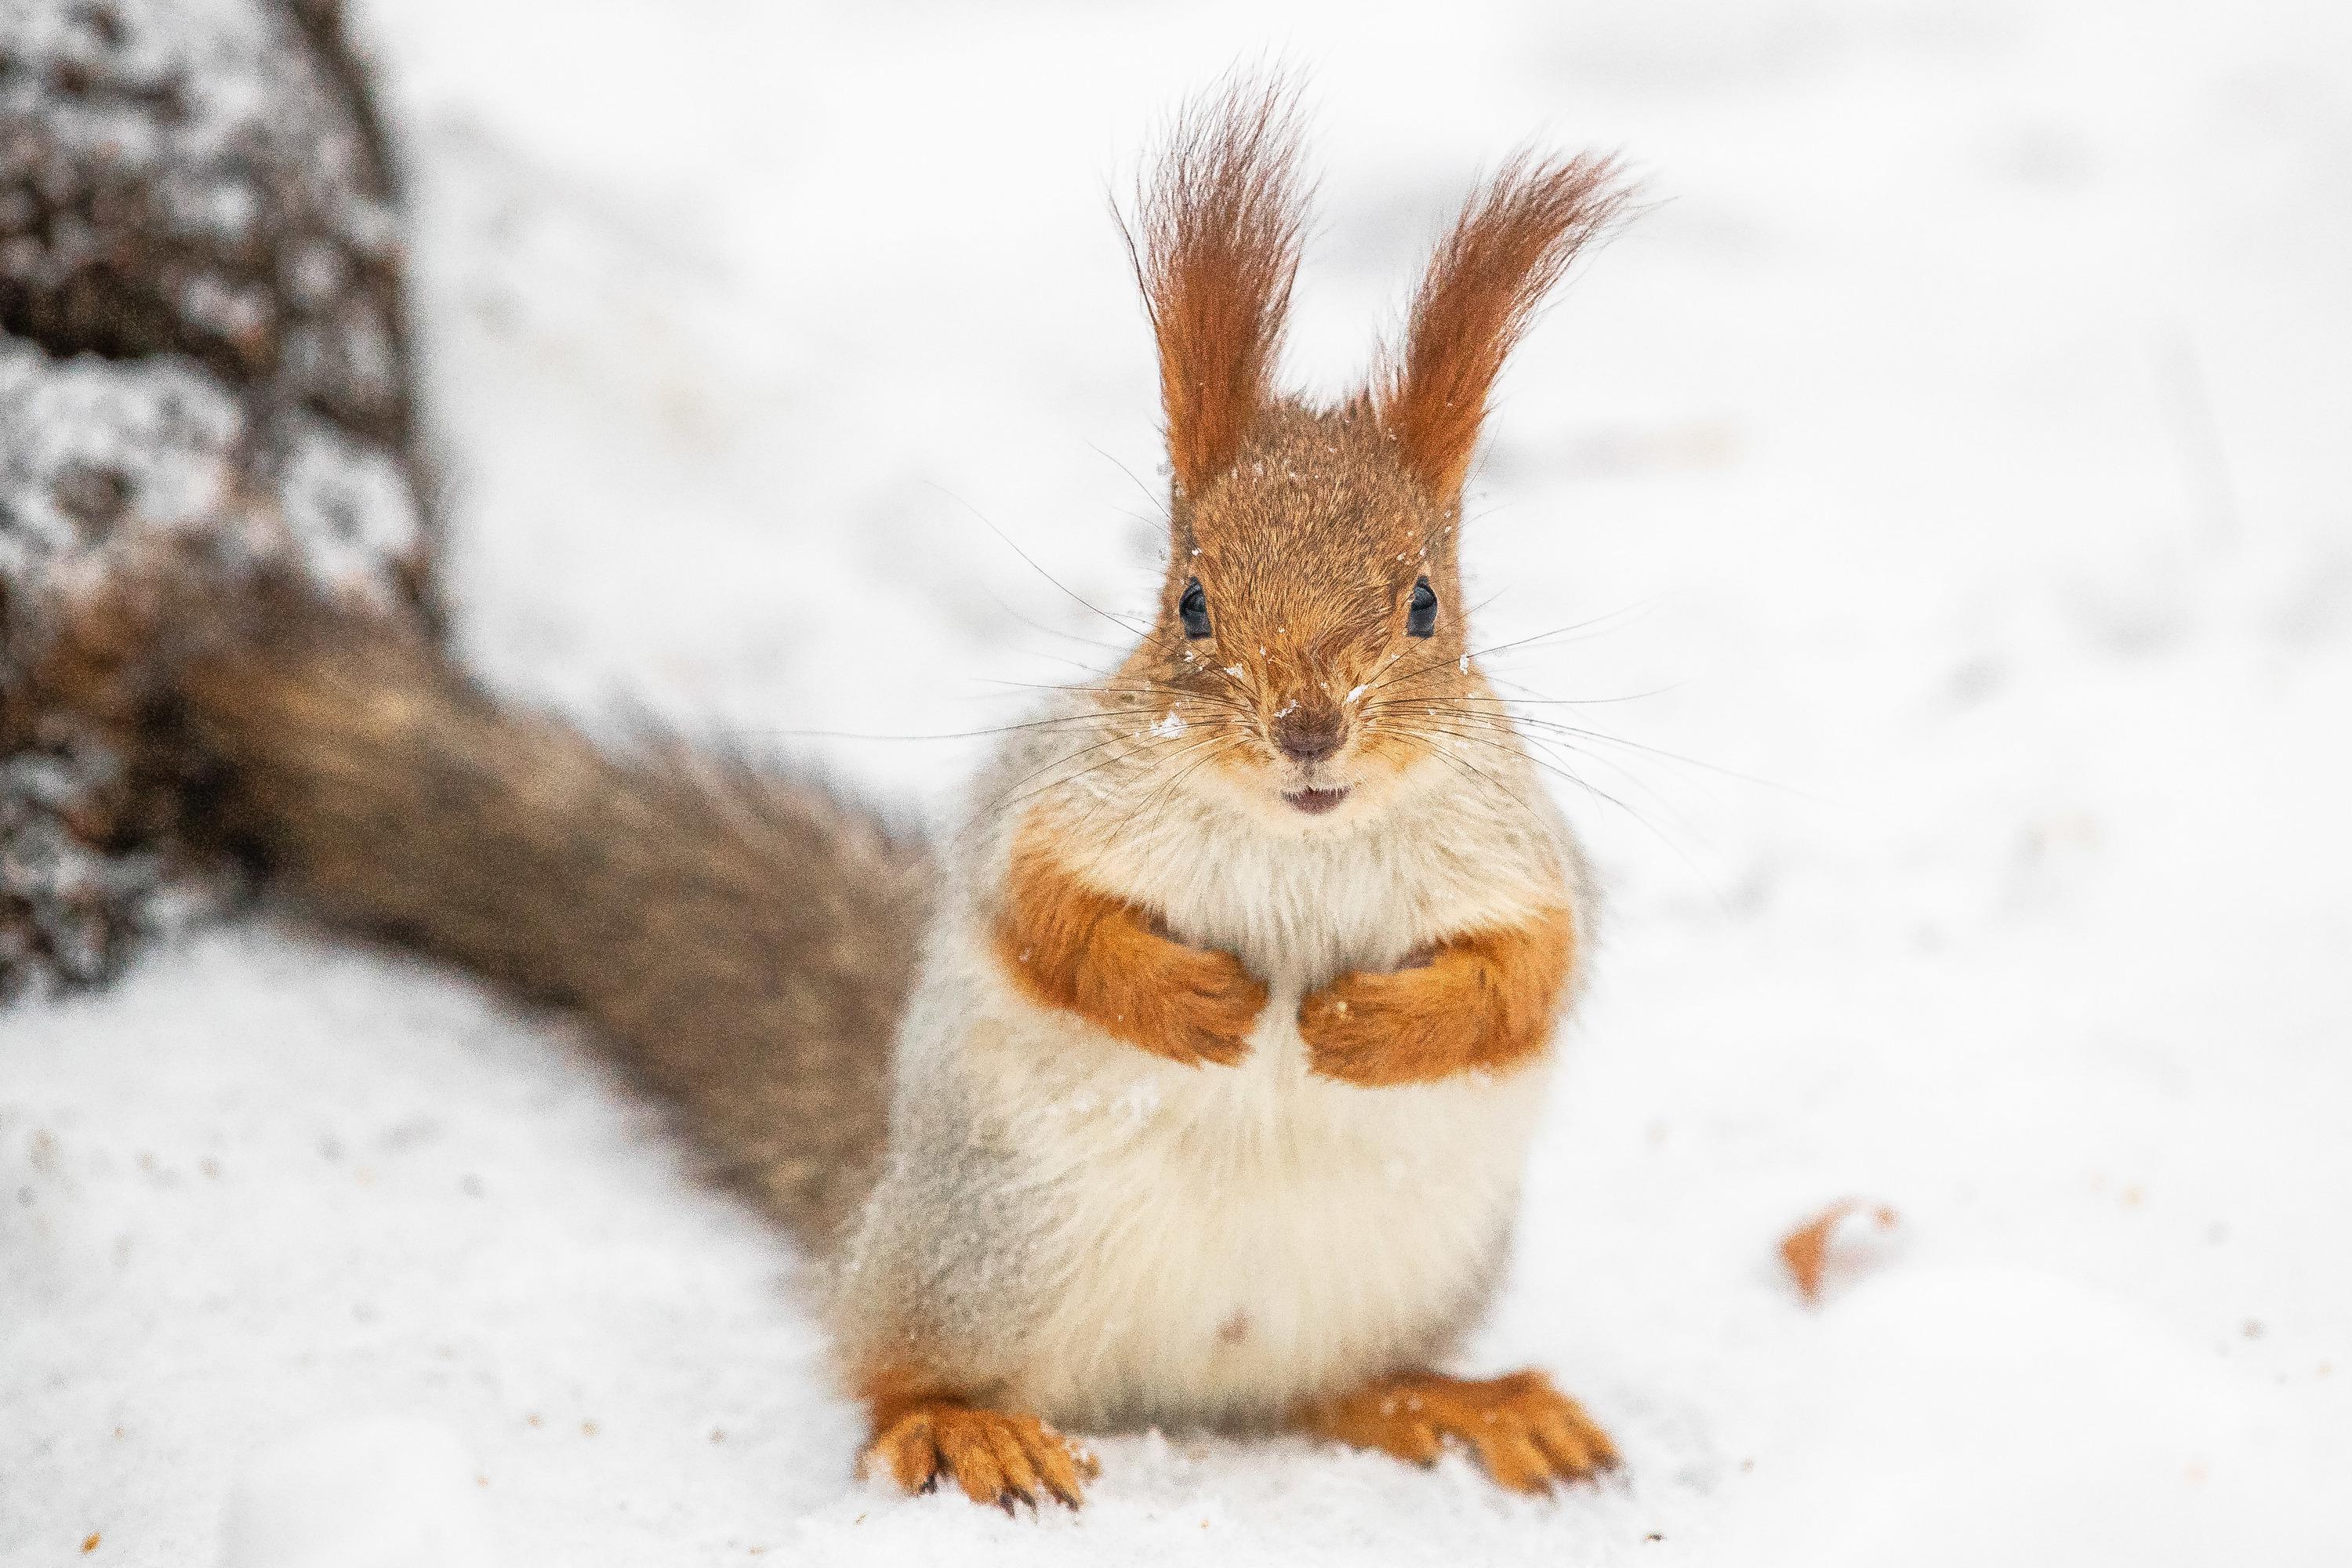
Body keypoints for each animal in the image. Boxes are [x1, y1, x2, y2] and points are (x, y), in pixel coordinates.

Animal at [23, 76, 1637, 1504]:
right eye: (1186, 602)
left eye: (1426, 605)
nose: (1308, 731)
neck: (1299, 843)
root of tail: (1183, 1384)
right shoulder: (1047, 801)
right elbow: (1038, 917)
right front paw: (1196, 1002)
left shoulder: (1522, 850)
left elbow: (1534, 972)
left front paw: (1373, 1024)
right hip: (985, 1253)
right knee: (894, 1372)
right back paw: (963, 1428)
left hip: (1394, 1274)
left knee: (1329, 1391)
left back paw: (1463, 1400)